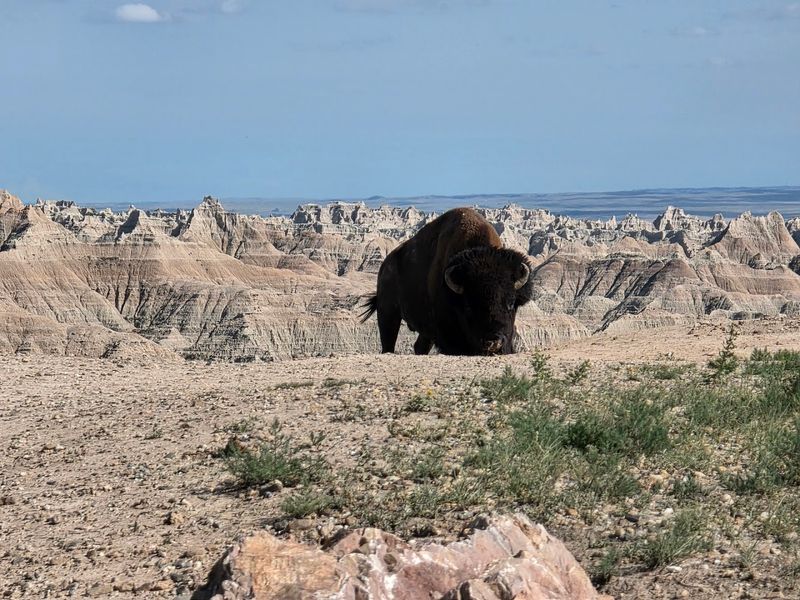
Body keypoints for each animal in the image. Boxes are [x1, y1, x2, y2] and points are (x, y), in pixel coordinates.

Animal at [360, 207, 533, 355]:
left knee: (419, 346)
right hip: (388, 313)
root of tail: (385, 265)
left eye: (511, 303)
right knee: (388, 343)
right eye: (468, 306)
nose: (493, 342)